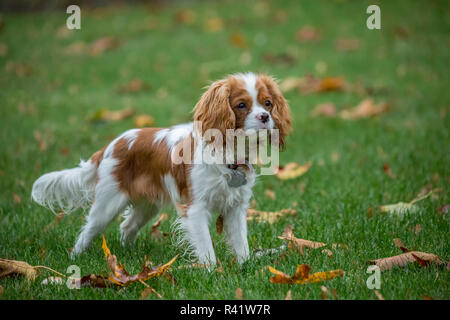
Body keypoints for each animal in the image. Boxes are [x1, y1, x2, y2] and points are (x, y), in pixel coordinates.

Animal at [31, 72, 292, 264]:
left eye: (268, 103)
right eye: (241, 105)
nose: (265, 116)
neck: (228, 153)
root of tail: (111, 145)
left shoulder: (236, 207)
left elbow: (240, 243)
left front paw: (245, 266)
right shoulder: (195, 209)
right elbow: (206, 247)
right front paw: (211, 271)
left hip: (147, 206)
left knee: (127, 226)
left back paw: (130, 254)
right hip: (108, 203)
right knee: (88, 230)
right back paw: (75, 257)